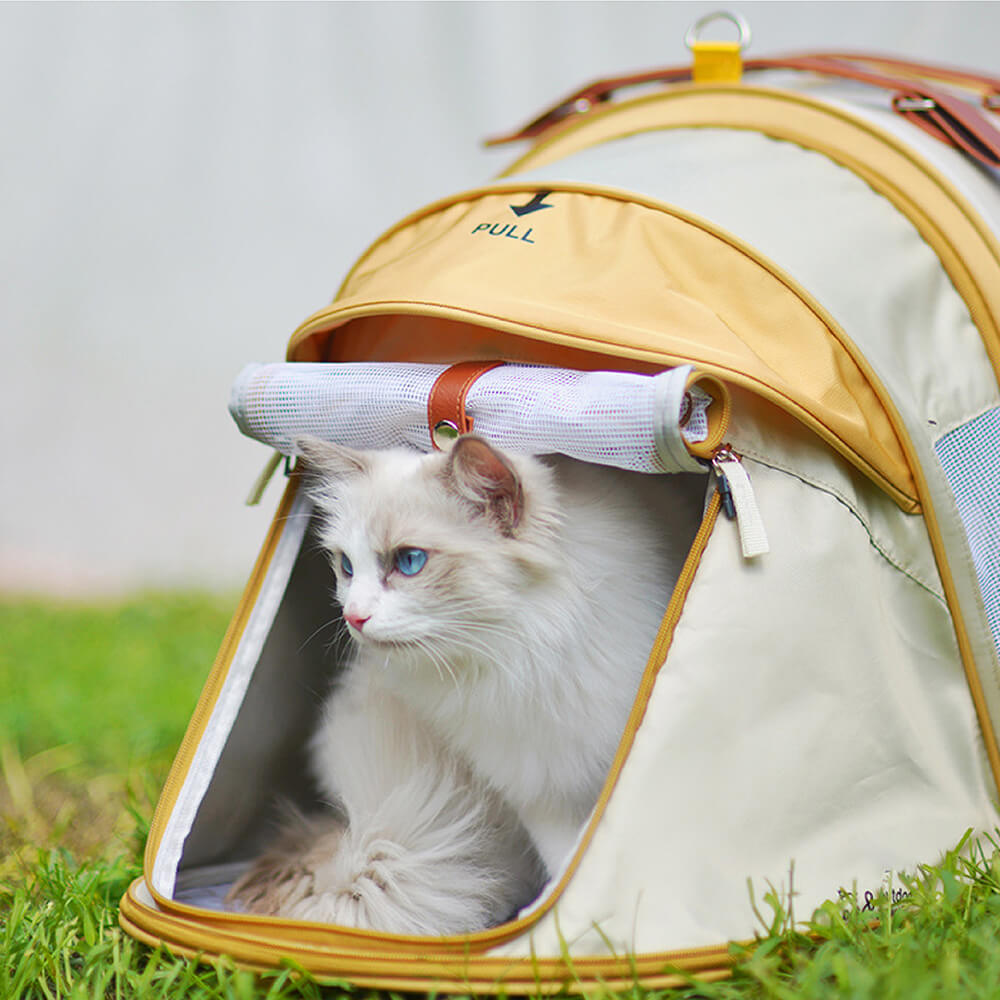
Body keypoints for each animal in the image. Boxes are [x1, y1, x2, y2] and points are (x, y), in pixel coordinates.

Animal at [230, 436, 708, 936]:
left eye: (409, 561)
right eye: (346, 566)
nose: (352, 617)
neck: (521, 660)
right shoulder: (540, 790)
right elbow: (566, 873)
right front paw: (554, 930)